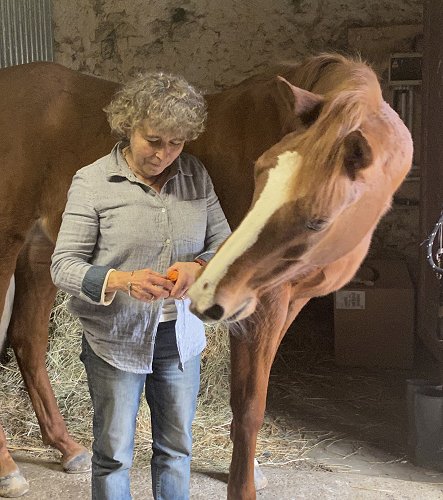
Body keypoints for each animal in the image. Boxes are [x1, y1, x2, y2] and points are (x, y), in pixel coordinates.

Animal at [0, 52, 412, 498]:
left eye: (317, 220)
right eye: (259, 171)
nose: (204, 294)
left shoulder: (289, 300)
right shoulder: (260, 306)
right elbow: (249, 404)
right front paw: (242, 483)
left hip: (41, 252)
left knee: (28, 341)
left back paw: (68, 447)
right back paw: (9, 469)